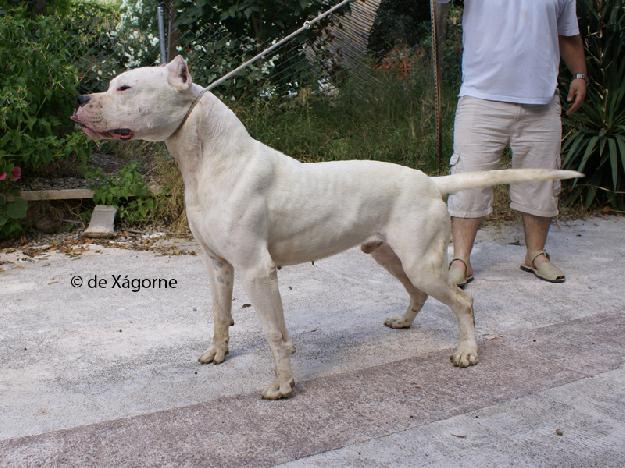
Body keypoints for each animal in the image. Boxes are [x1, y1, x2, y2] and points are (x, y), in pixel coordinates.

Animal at [72, 54, 580, 398]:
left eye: (124, 88)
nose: (79, 99)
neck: (210, 159)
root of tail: (430, 180)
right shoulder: (218, 266)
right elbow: (219, 316)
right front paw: (218, 354)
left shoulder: (257, 271)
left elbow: (275, 334)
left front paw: (282, 386)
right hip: (389, 255)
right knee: (418, 294)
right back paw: (403, 321)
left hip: (422, 262)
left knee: (463, 301)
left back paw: (467, 352)